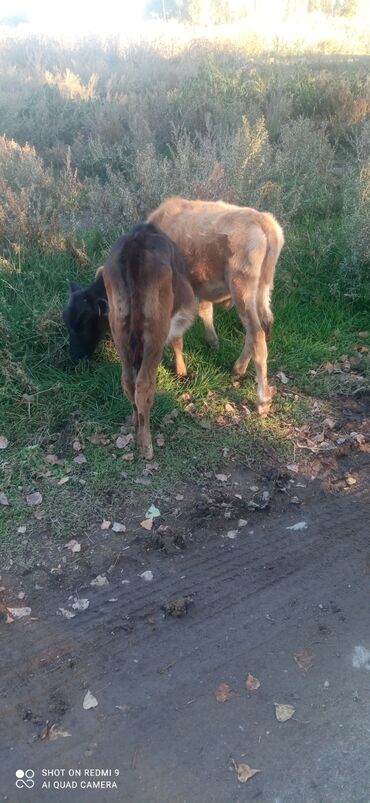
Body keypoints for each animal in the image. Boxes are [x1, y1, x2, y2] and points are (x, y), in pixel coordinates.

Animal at [101, 221, 197, 458]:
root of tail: (134, 246)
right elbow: (178, 341)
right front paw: (182, 372)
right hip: (155, 334)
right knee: (144, 384)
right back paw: (146, 444)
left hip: (119, 330)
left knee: (128, 381)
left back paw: (136, 424)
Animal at [147, 198, 284, 418]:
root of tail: (263, 219)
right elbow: (205, 311)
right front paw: (212, 342)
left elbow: (176, 335)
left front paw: (180, 371)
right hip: (261, 290)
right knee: (257, 330)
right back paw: (238, 369)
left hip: (242, 289)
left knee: (257, 335)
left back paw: (262, 401)